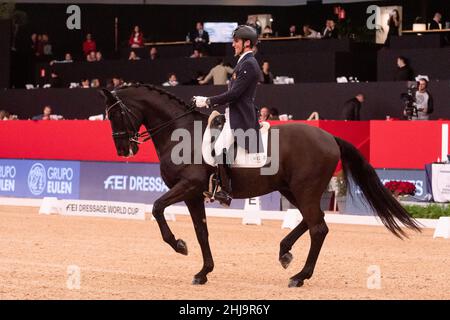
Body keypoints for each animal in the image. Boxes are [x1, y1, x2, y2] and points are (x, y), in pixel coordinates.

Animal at [100, 84, 420, 288]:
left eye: (115, 114)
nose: (122, 150)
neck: (181, 134)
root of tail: (330, 137)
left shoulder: (187, 186)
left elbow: (156, 209)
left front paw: (179, 246)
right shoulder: (194, 195)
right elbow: (202, 232)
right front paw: (203, 272)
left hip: (304, 190)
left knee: (318, 227)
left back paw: (299, 276)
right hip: (292, 189)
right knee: (312, 221)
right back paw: (285, 252)